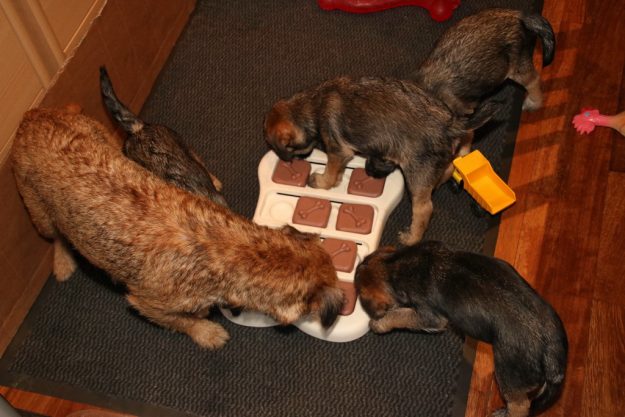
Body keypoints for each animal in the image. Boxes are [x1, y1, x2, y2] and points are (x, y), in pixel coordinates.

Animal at [11, 107, 343, 349]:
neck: (228, 246)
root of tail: (33, 114)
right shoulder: (146, 303)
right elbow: (181, 321)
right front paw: (207, 332)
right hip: (37, 208)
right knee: (57, 237)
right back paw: (62, 262)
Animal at [264, 75, 498, 244]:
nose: (286, 161)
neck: (312, 104)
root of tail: (449, 125)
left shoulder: (337, 149)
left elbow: (330, 169)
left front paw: (322, 182)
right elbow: (337, 171)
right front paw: (337, 180)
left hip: (416, 173)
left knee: (424, 209)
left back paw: (412, 238)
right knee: (448, 169)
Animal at [355, 241, 568, 417]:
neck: (395, 265)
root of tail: (552, 352)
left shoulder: (429, 317)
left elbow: (400, 315)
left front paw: (379, 323)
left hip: (510, 374)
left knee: (521, 406)